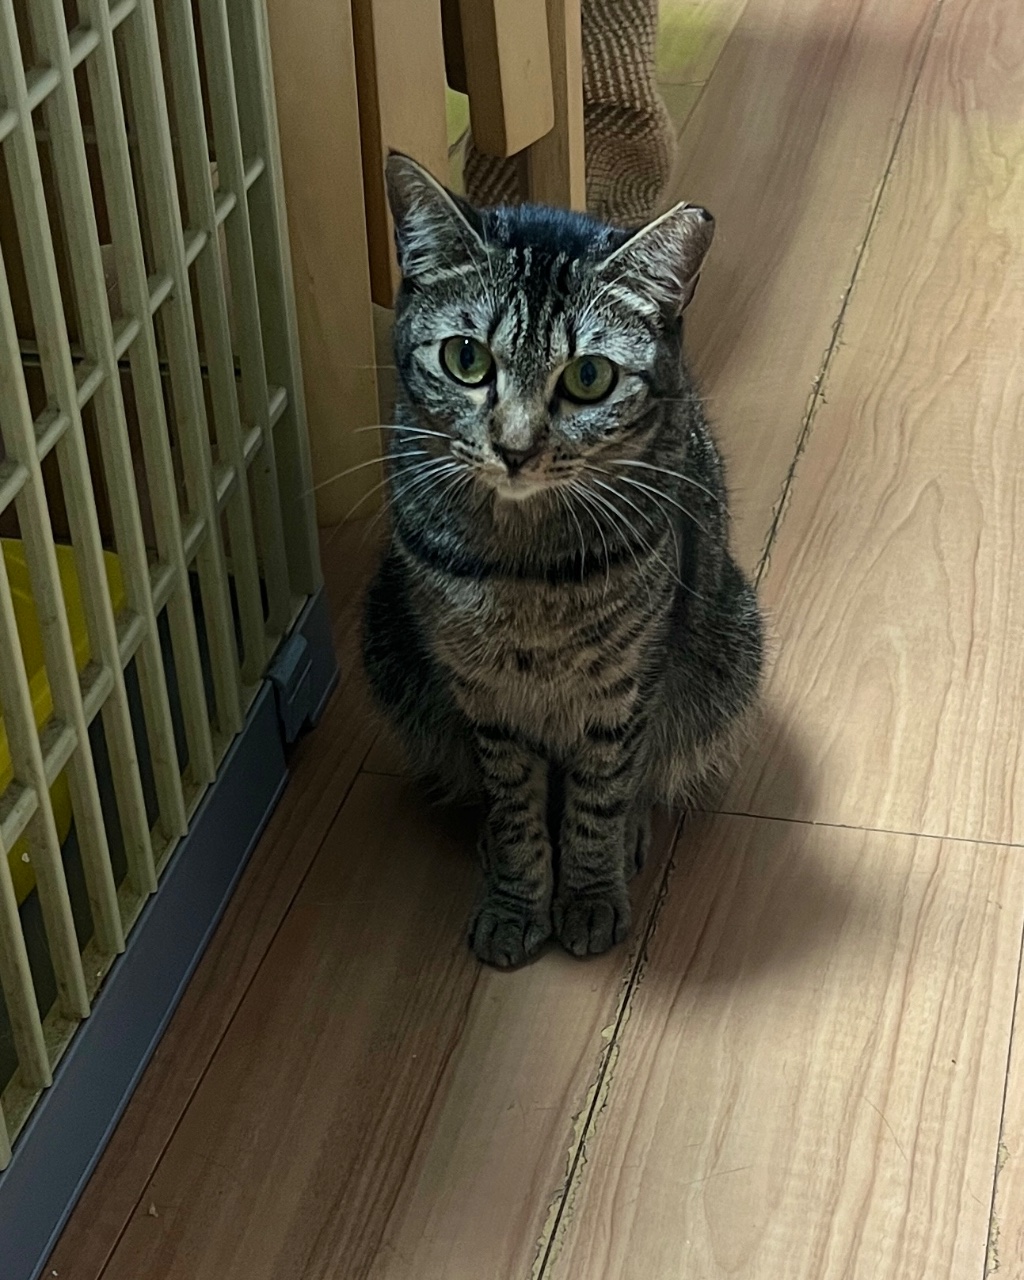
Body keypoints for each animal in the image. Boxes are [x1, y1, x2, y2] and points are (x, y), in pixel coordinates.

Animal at [363, 154, 764, 968]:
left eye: (588, 378)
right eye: (465, 358)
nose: (515, 448)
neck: (522, 568)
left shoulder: (625, 684)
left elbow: (601, 795)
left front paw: (588, 892)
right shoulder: (483, 695)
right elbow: (515, 803)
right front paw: (517, 898)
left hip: (729, 643)